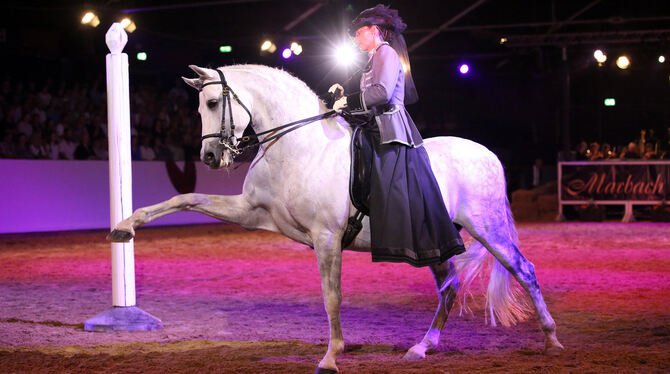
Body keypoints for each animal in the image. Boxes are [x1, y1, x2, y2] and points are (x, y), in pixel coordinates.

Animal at [109, 63, 560, 372]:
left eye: (214, 103)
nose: (209, 157)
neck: (295, 147)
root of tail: (489, 154)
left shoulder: (326, 237)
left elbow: (332, 296)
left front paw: (331, 356)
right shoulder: (253, 213)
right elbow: (184, 198)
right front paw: (124, 227)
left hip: (488, 229)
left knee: (524, 270)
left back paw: (552, 340)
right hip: (437, 241)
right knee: (449, 285)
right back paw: (421, 347)